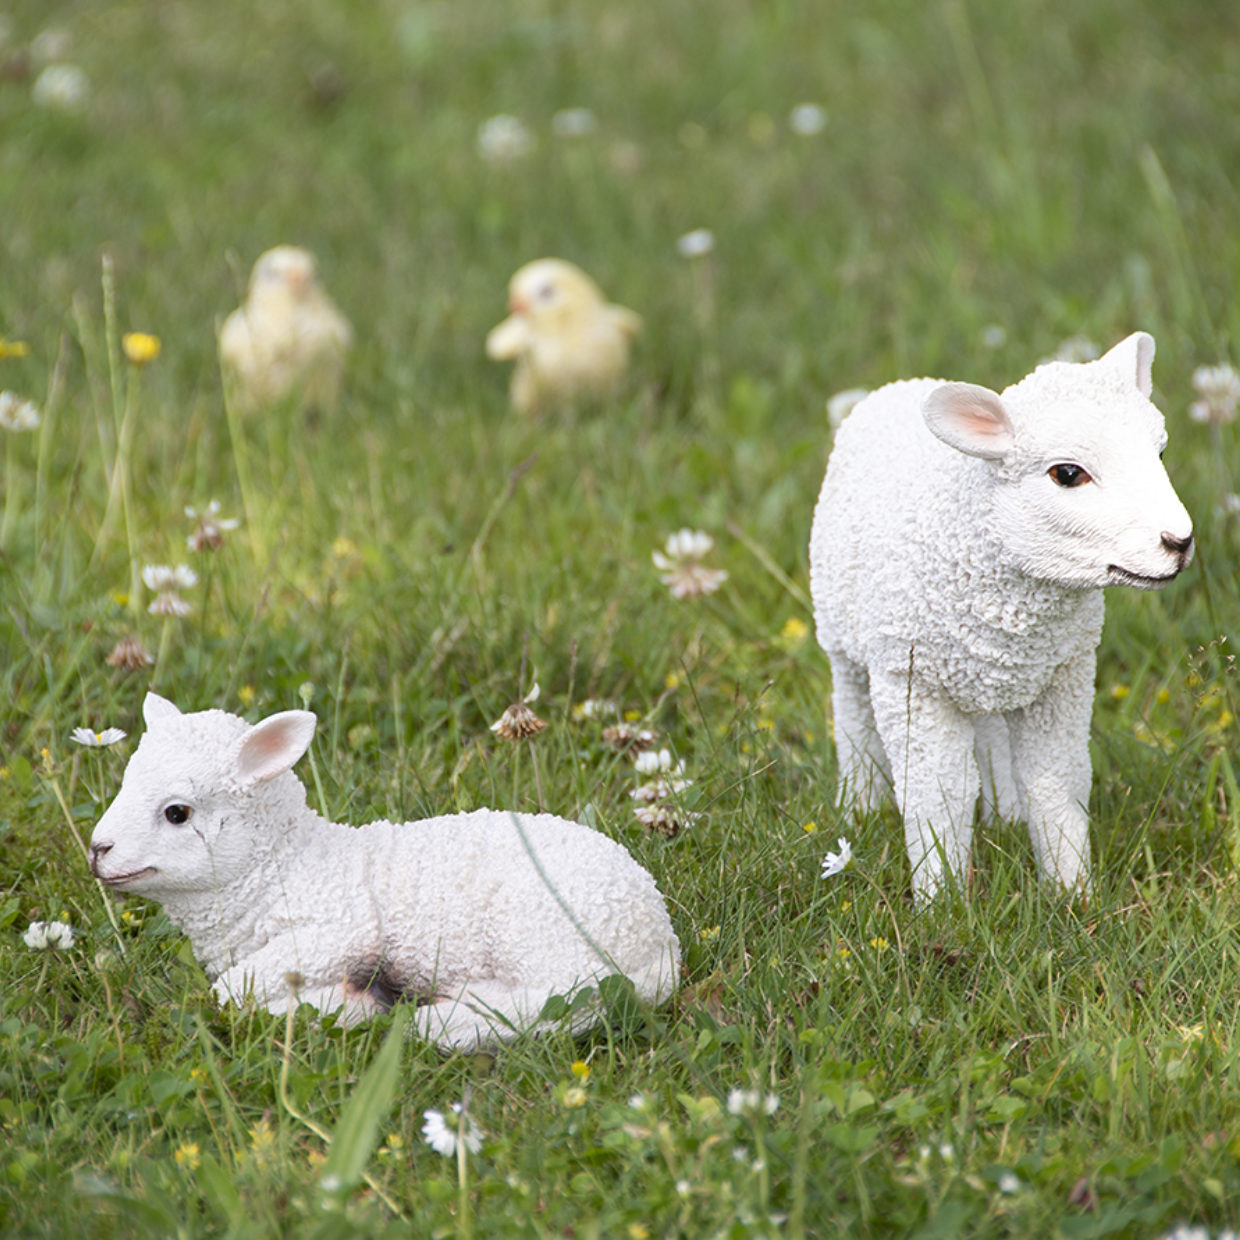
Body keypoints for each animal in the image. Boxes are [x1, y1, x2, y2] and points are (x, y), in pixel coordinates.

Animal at [91, 694, 684, 1051]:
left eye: (177, 813)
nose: (97, 850)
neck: (282, 863)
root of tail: (660, 936)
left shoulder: (343, 926)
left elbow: (231, 992)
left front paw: (345, 1006)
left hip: (544, 929)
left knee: (577, 999)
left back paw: (446, 1020)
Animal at [808, 334, 1195, 897]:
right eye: (1067, 473)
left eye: (1161, 453)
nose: (1179, 543)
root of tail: (898, 386)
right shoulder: (913, 682)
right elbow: (937, 792)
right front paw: (942, 900)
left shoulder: (1062, 676)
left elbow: (1057, 778)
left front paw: (1072, 892)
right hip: (844, 636)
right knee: (854, 718)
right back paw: (857, 807)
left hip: (987, 671)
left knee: (989, 737)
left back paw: (1005, 816)